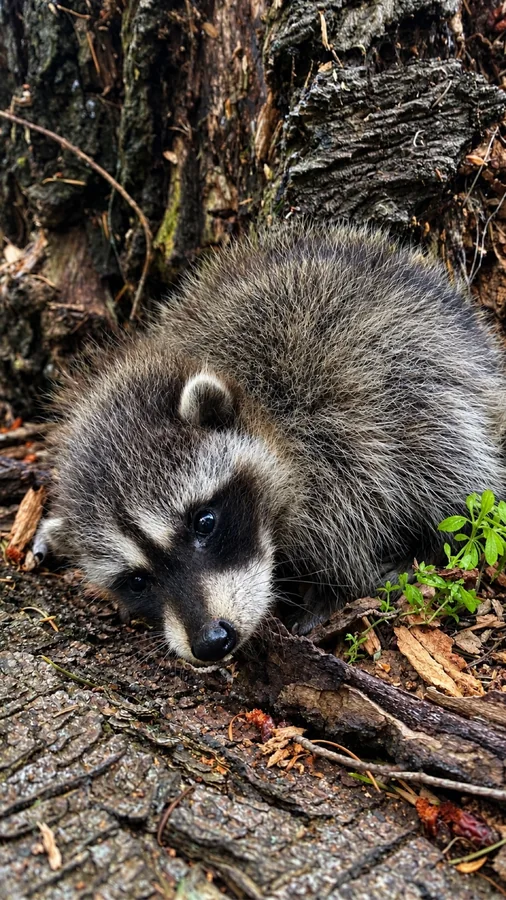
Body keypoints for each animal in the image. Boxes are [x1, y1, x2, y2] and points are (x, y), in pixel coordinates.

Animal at [37, 223, 506, 664]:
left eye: (204, 521)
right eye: (136, 580)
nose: (211, 642)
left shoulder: (334, 422)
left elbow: (356, 504)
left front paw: (336, 583)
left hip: (432, 367)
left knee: (445, 452)